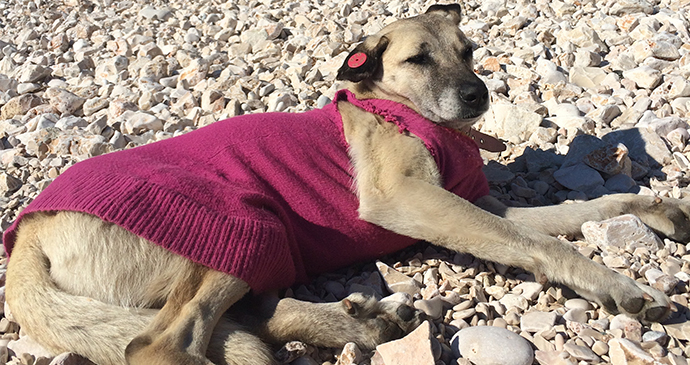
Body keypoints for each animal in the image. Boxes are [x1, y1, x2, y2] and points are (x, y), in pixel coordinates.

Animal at [2, 3, 684, 364]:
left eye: (468, 51)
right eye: (417, 60)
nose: (477, 95)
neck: (399, 108)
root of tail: (31, 230)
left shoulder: (476, 206)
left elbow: (579, 208)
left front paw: (655, 207)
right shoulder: (410, 200)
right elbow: (545, 243)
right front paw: (618, 286)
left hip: (258, 241)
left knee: (253, 317)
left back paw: (367, 323)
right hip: (238, 219)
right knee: (164, 344)